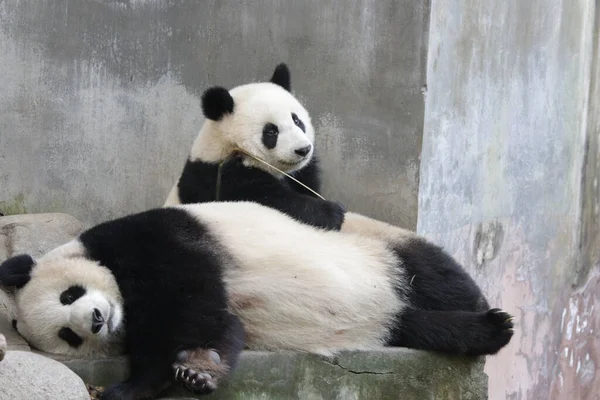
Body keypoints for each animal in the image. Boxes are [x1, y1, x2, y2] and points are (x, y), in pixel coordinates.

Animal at [2, 203, 512, 400]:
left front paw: (189, 370)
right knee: (414, 323)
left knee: (433, 273)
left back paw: (489, 315)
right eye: (67, 335)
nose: (94, 319)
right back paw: (482, 331)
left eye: (70, 293)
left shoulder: (154, 239)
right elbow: (214, 324)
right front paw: (160, 378)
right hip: (384, 318)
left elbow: (192, 305)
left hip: (372, 248)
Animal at [164, 63, 346, 231]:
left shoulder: (303, 173)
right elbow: (271, 200)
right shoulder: (220, 177)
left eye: (296, 120)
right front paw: (332, 212)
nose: (303, 150)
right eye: (271, 131)